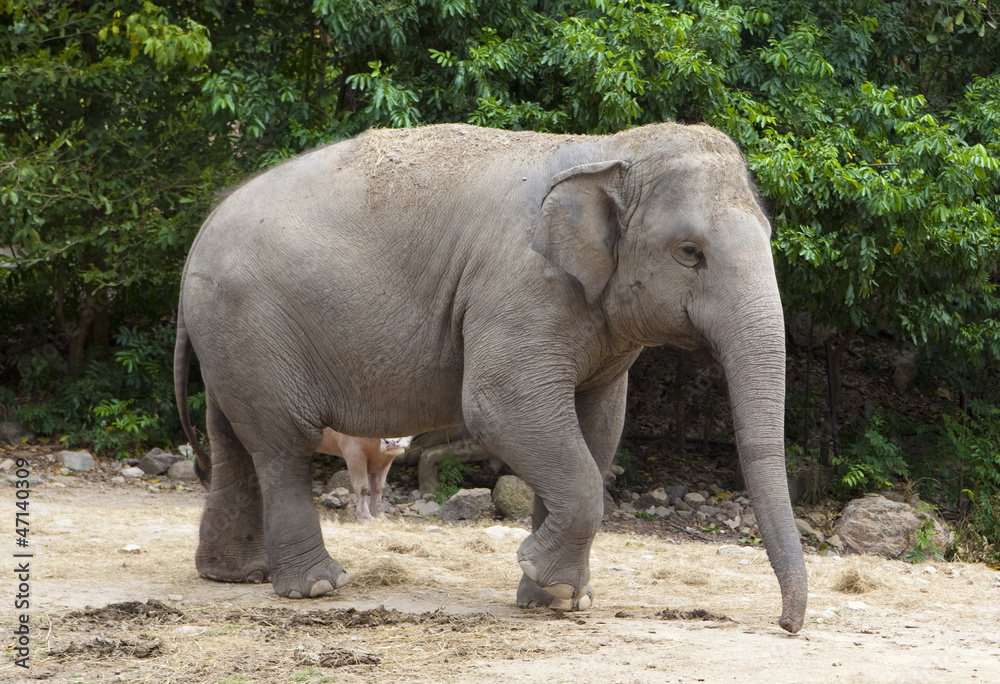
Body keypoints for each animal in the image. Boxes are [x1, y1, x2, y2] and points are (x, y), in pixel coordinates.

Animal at [174, 122, 807, 633]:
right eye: (690, 252)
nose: (787, 625)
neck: (610, 150)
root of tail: (197, 239)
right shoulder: (521, 285)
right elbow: (502, 408)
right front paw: (550, 582)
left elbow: (598, 428)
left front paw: (557, 601)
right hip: (252, 327)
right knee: (283, 445)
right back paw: (318, 586)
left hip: (229, 339)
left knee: (233, 442)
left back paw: (237, 575)